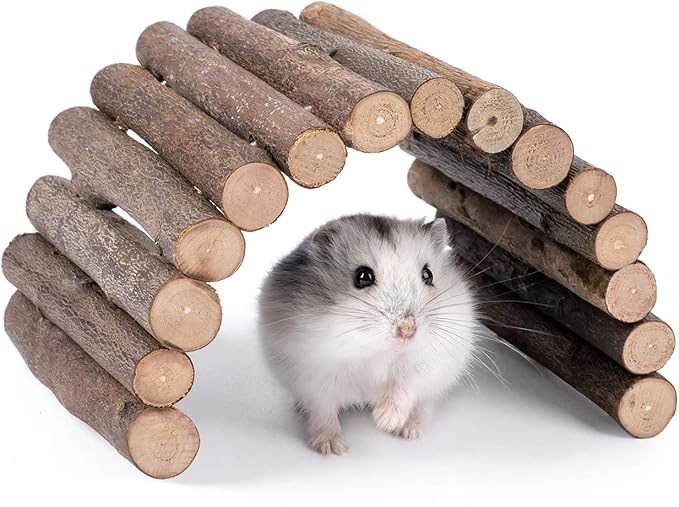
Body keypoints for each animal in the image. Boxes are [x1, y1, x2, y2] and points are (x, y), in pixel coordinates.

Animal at [258, 214, 477, 455]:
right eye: (363, 277)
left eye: (427, 274)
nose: (407, 331)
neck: (377, 351)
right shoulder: (315, 375)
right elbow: (323, 412)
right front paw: (332, 448)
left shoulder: (427, 363)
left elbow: (404, 386)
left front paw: (384, 420)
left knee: (423, 407)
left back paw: (408, 431)